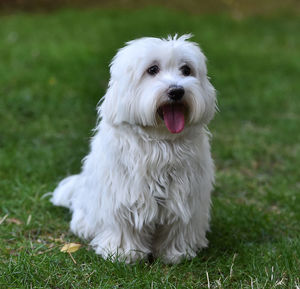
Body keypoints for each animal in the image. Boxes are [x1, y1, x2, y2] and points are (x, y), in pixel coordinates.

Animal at [50, 34, 217, 264]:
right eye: (152, 69)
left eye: (186, 70)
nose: (177, 90)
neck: (160, 141)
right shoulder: (123, 194)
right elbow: (123, 225)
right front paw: (123, 253)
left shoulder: (186, 197)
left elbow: (179, 226)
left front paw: (176, 253)